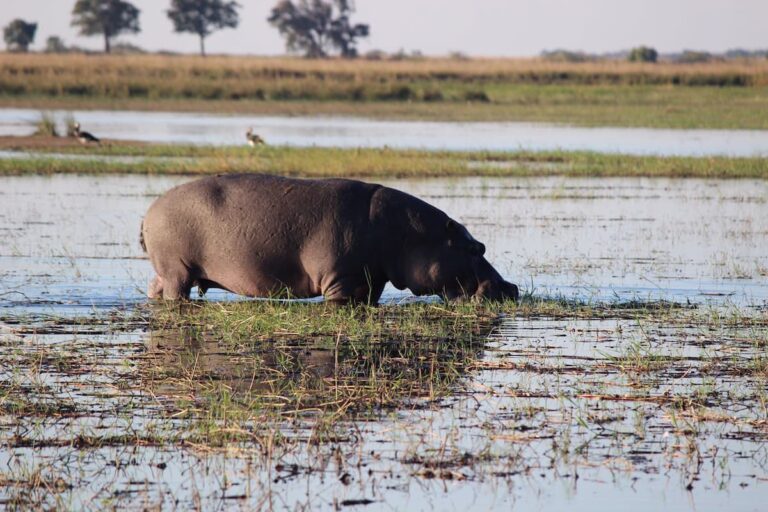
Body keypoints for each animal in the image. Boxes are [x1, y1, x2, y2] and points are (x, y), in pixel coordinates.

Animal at [140, 174, 518, 304]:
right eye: (477, 247)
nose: (511, 287)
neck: (410, 234)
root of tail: (149, 211)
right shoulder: (341, 282)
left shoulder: (369, 283)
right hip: (177, 271)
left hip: (167, 271)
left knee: (154, 288)